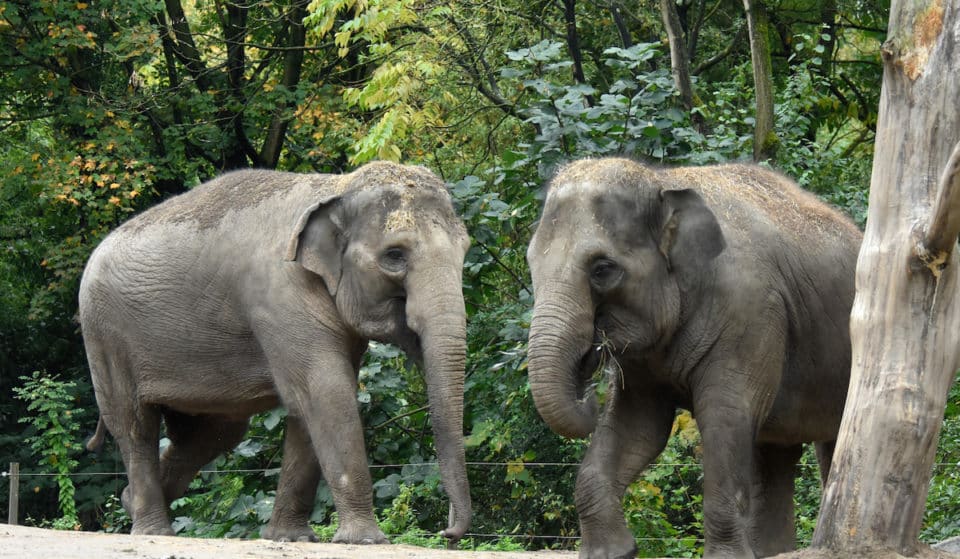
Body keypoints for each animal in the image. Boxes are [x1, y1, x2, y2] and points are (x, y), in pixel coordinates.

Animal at [79, 160, 472, 544]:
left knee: (213, 433)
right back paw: (152, 529)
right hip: (105, 335)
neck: (337, 187)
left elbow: (307, 407)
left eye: (465, 250)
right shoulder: (282, 296)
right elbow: (326, 394)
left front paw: (291, 538)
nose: (447, 532)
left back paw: (129, 501)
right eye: (394, 255)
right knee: (136, 426)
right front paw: (365, 541)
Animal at [524, 158, 864, 559]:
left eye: (602, 269)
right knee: (776, 452)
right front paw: (613, 553)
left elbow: (725, 416)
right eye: (530, 263)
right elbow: (639, 425)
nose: (590, 384)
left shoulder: (749, 313)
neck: (663, 181)